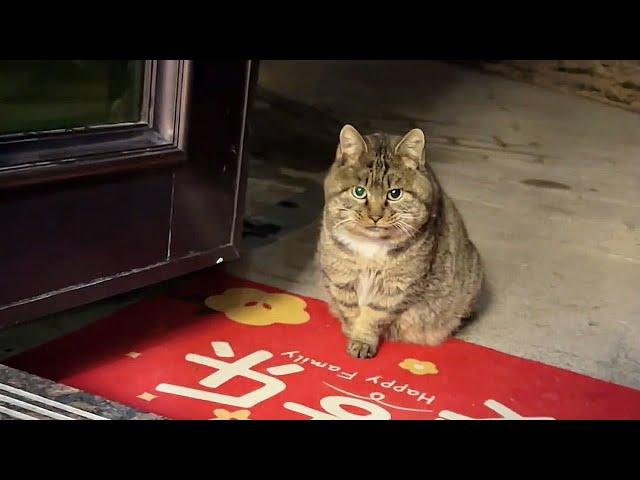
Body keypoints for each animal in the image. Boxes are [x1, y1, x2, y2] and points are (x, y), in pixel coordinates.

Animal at [318, 125, 482, 358]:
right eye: (359, 191)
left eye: (395, 193)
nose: (375, 216)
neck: (370, 249)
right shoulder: (341, 277)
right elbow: (350, 310)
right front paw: (352, 333)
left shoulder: (397, 286)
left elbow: (373, 316)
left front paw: (361, 341)